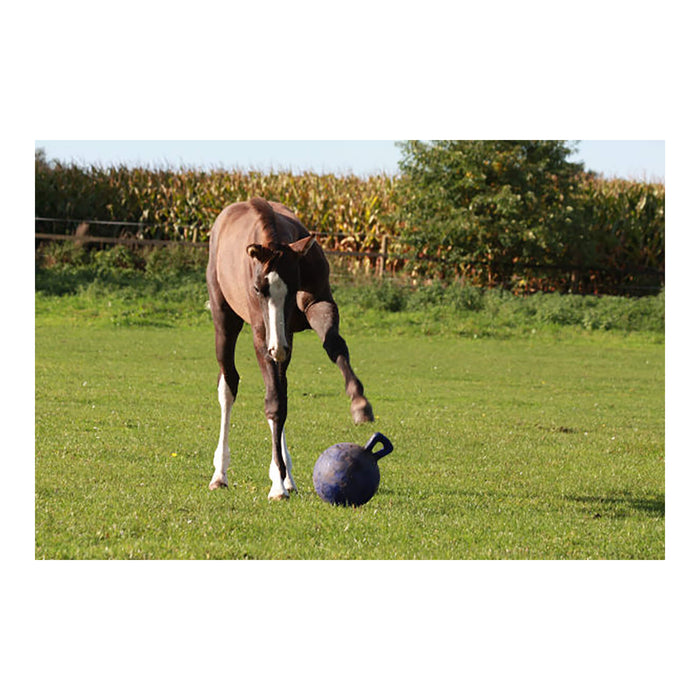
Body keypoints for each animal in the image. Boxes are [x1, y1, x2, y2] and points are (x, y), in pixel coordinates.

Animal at [206, 197, 374, 500]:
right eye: (258, 289)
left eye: (294, 285)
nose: (278, 348)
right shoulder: (262, 335)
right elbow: (273, 404)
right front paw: (276, 487)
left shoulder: (318, 304)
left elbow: (335, 346)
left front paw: (360, 403)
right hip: (226, 323)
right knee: (229, 385)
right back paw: (221, 475)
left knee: (280, 391)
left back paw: (286, 477)